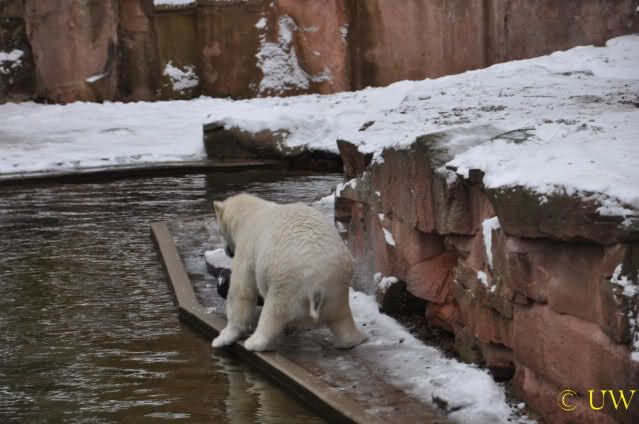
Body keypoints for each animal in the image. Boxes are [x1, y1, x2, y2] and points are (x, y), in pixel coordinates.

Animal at [211, 193, 367, 352]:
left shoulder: (247, 247)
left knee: (273, 311)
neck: (249, 214)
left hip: (287, 281)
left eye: (220, 231)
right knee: (342, 317)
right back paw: (352, 340)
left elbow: (241, 291)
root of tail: (318, 284)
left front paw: (222, 338)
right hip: (337, 287)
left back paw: (254, 342)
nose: (228, 251)